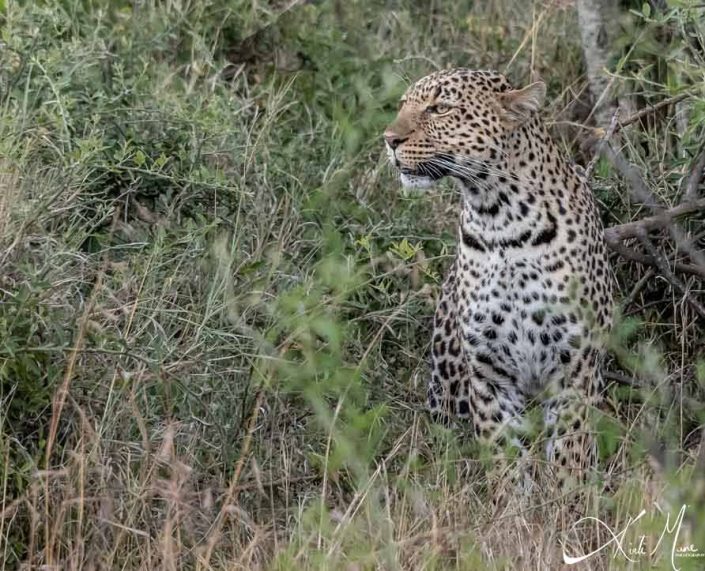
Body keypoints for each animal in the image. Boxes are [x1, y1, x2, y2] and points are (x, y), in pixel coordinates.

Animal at [382, 69, 612, 494]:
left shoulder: (574, 364)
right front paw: (514, 505)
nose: (389, 140)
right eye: (403, 105)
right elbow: (505, 454)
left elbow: (570, 450)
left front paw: (567, 503)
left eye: (440, 108)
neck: (499, 219)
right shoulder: (488, 370)